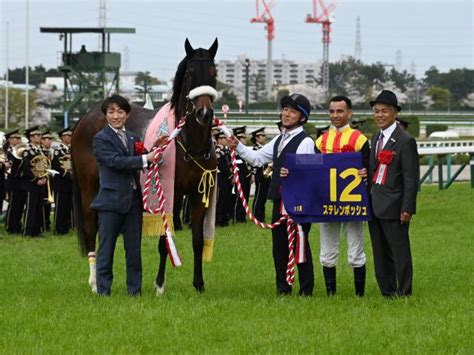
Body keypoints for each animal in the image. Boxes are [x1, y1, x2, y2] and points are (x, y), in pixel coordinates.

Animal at [71, 39, 219, 294]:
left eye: (213, 71)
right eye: (190, 72)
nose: (204, 113)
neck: (189, 145)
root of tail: (85, 117)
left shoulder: (199, 195)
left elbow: (198, 240)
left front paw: (199, 284)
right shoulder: (169, 194)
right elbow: (163, 240)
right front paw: (159, 285)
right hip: (88, 188)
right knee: (91, 228)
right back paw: (94, 283)